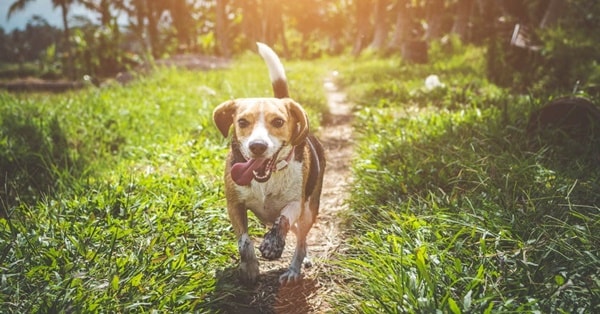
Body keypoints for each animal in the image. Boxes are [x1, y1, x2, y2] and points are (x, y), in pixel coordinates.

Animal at [213, 42, 326, 284]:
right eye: (242, 122)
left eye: (278, 122)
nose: (257, 146)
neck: (267, 178)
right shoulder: (234, 205)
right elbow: (244, 241)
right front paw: (249, 268)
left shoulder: (296, 203)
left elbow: (282, 219)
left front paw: (273, 244)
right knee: (299, 236)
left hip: (309, 211)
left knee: (300, 240)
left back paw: (294, 269)